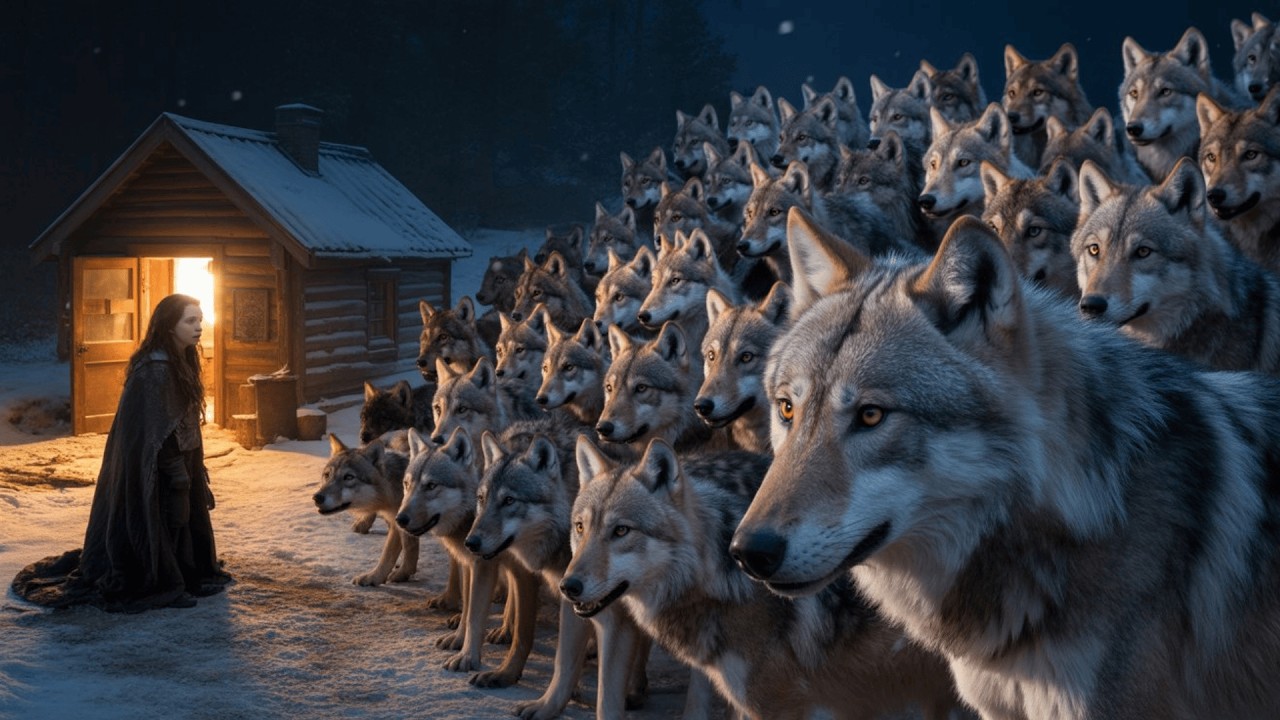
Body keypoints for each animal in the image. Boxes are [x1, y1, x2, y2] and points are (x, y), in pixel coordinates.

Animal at [396, 427, 541, 688]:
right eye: (407, 484)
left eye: (431, 486)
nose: (399, 519)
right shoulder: (468, 563)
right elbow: (467, 608)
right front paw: (458, 639)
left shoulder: (483, 565)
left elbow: (475, 614)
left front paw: (467, 658)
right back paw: (505, 630)